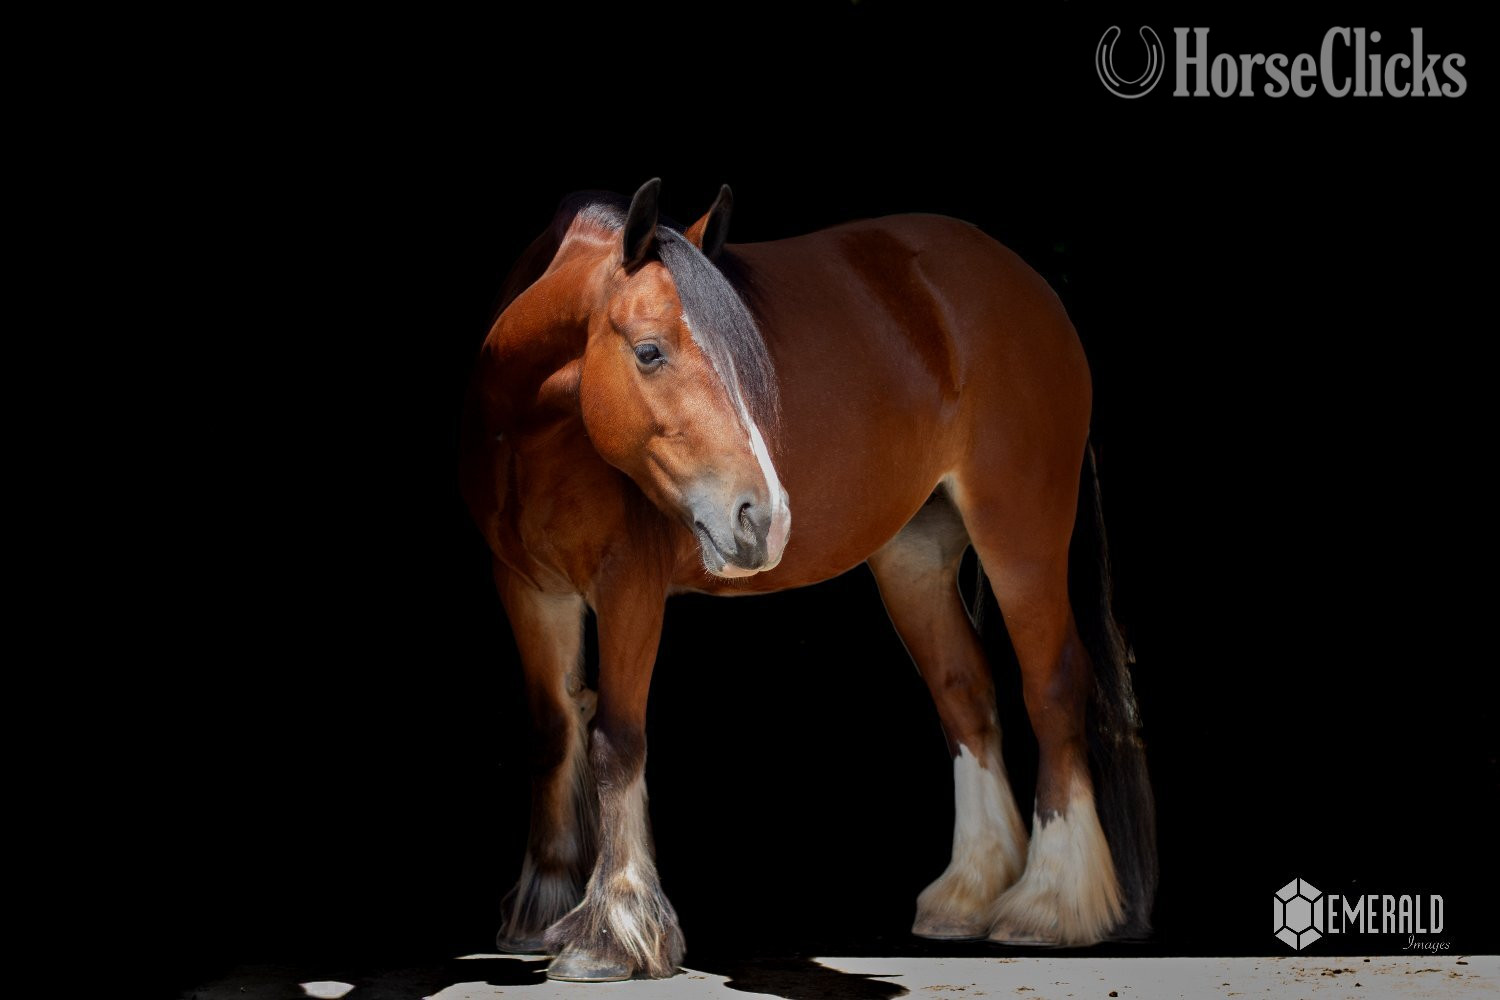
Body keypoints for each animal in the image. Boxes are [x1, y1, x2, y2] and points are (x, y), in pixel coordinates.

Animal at [460, 179, 1157, 982]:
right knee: (965, 695)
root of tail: (1032, 286)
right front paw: (539, 910)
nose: (764, 518)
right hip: (913, 558)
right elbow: (551, 734)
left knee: (1053, 688)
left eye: (745, 361)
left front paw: (612, 931)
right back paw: (968, 895)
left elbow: (618, 741)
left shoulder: (628, 589)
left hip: (1022, 537)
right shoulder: (527, 589)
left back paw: (1049, 903)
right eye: (649, 351)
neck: (533, 436)